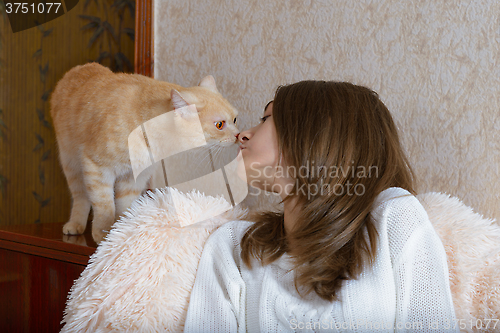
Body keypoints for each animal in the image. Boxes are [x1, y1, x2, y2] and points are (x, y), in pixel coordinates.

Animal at [50, 63, 240, 243]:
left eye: (235, 119)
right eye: (220, 125)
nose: (238, 135)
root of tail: (77, 69)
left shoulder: (133, 180)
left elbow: (124, 208)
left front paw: (120, 233)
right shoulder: (97, 168)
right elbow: (104, 205)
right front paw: (103, 234)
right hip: (72, 166)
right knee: (81, 197)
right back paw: (75, 224)